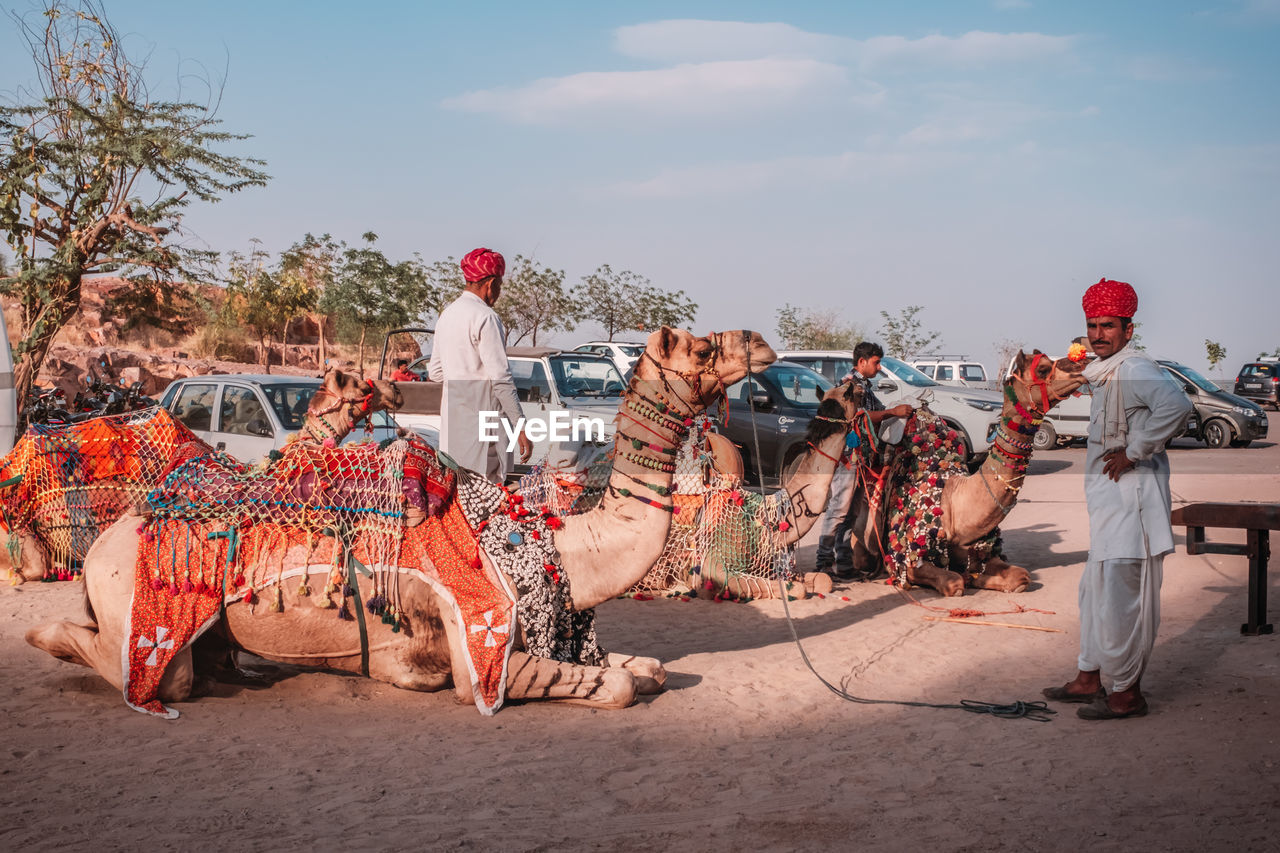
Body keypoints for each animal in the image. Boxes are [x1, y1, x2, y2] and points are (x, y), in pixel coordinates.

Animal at [24, 325, 773, 712]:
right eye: (702, 348)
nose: (761, 342)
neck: (557, 546)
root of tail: (101, 547)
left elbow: (646, 666)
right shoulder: (481, 646)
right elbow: (617, 683)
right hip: (145, 617)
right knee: (139, 665)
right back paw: (42, 635)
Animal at [844, 348, 1085, 594]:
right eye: (1043, 368)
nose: (1080, 366)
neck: (951, 499)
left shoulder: (972, 546)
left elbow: (1020, 577)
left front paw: (979, 577)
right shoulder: (906, 556)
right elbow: (953, 582)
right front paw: (963, 579)